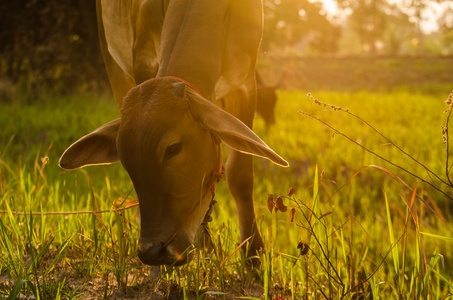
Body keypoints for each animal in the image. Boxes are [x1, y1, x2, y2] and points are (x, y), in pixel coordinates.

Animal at [60, 0, 288, 268]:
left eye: (174, 148)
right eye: (124, 158)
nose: (151, 252)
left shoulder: (244, 85)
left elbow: (240, 177)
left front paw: (253, 256)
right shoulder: (142, 61)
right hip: (112, 61)